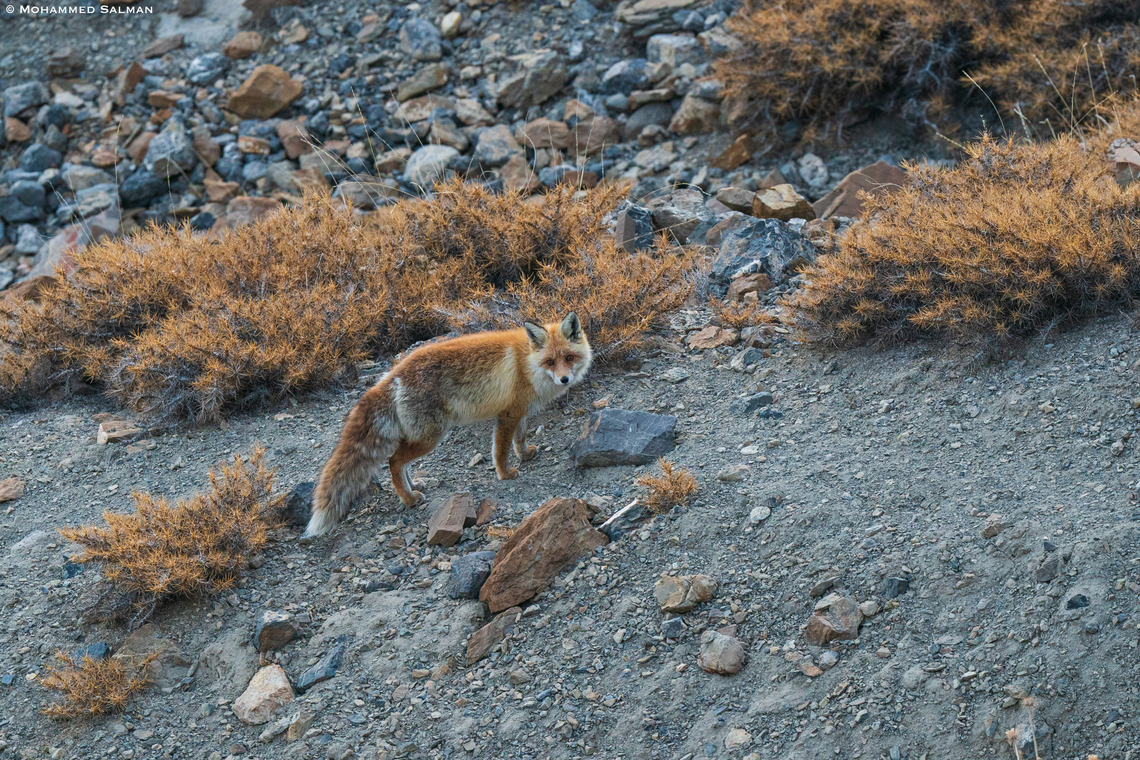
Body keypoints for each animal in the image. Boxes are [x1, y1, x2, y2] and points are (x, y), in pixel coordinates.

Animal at [302, 312, 593, 538]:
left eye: (569, 357)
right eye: (550, 362)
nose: (565, 379)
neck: (527, 364)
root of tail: (392, 375)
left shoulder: (520, 411)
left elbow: (519, 439)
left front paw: (525, 455)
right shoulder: (507, 414)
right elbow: (501, 449)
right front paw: (505, 473)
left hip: (419, 435)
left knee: (401, 463)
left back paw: (413, 487)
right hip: (431, 436)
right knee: (394, 461)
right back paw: (408, 499)